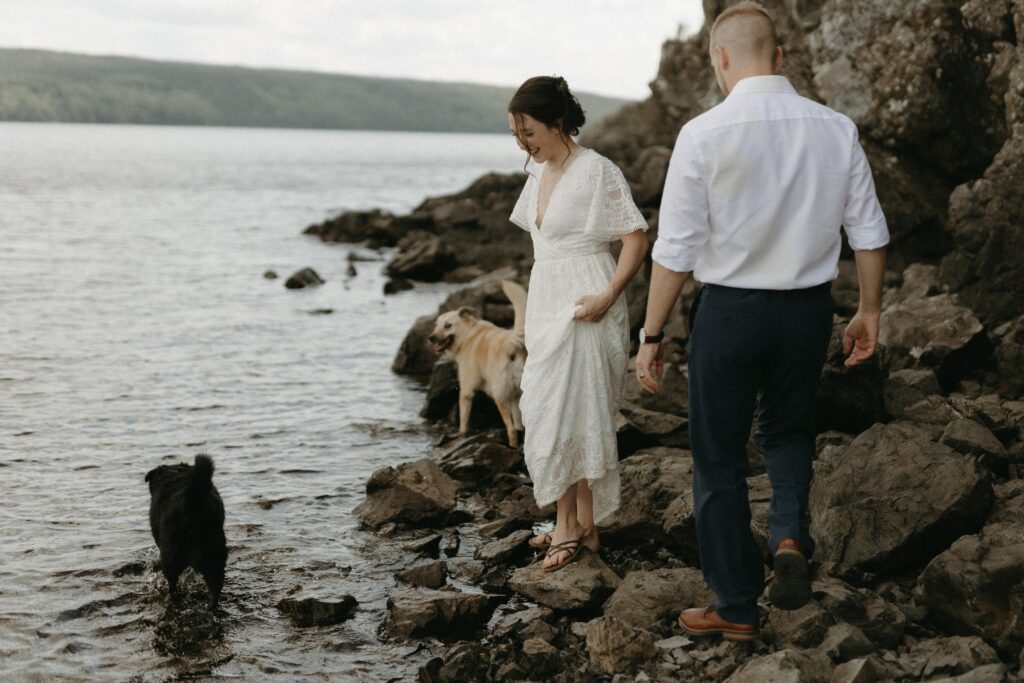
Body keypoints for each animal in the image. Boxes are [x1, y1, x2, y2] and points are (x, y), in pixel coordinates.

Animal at [430, 280, 532, 446]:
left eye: (448, 325)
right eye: (436, 325)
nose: (430, 338)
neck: (467, 334)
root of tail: (512, 342)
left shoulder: (466, 390)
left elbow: (464, 418)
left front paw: (461, 434)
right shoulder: (513, 394)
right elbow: (517, 419)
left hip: (499, 396)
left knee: (510, 429)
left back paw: (512, 444)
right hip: (517, 392)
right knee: (519, 425)